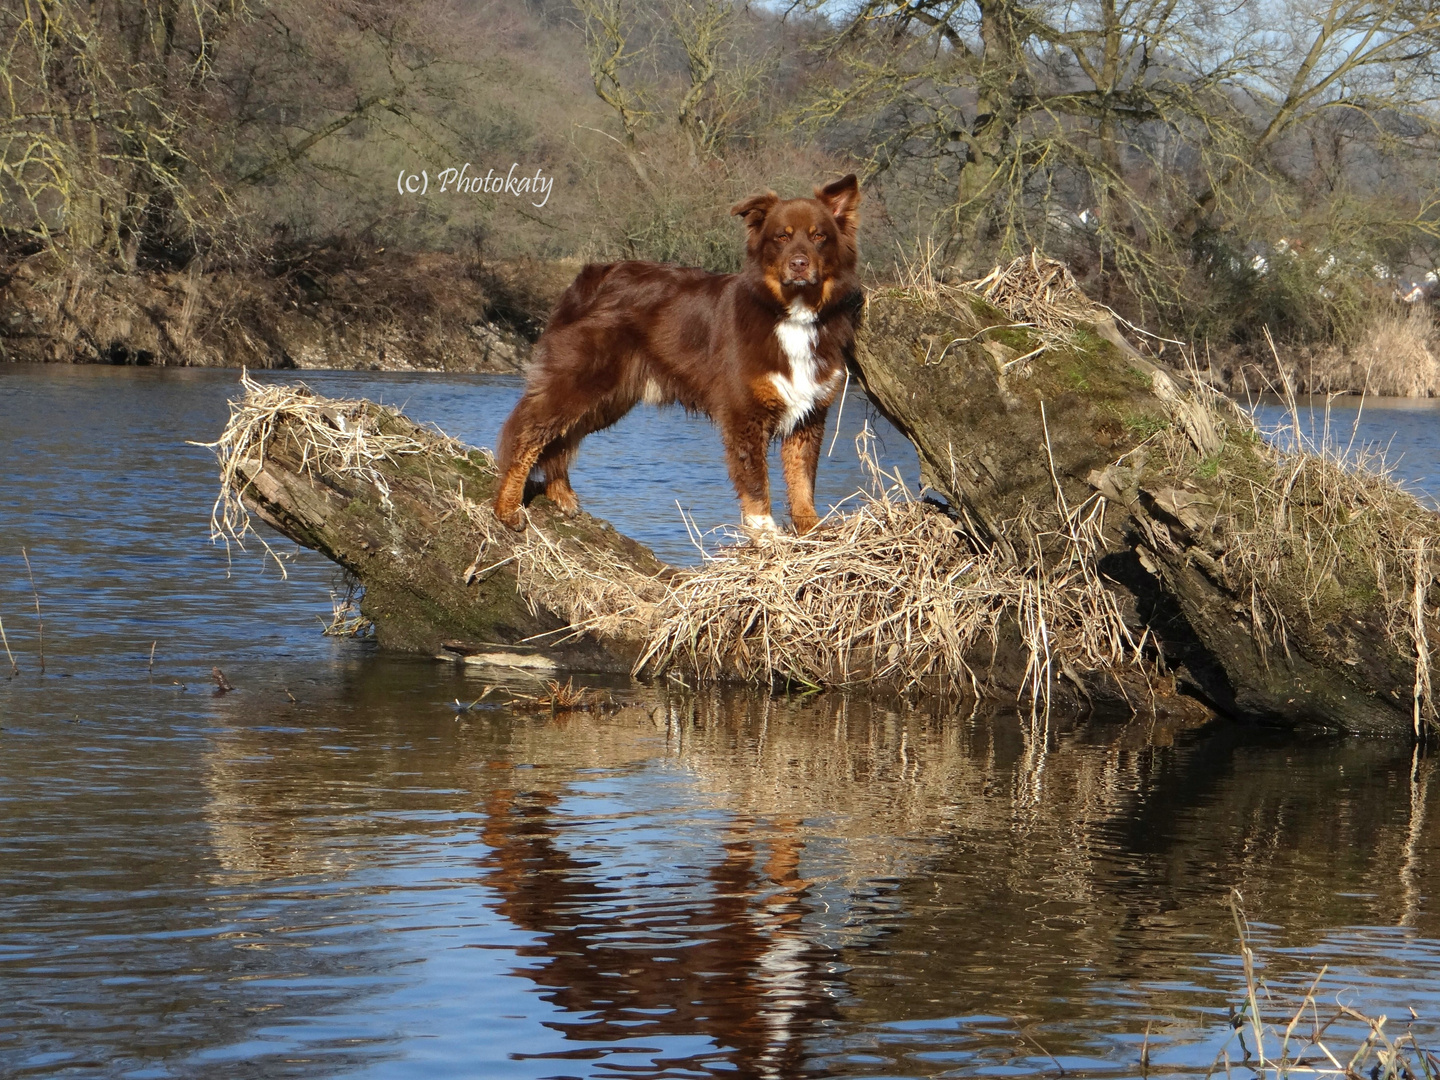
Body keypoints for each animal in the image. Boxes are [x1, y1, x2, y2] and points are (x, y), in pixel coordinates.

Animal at [495, 175, 858, 538]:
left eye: (819, 236)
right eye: (782, 236)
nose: (799, 264)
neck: (789, 312)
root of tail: (589, 276)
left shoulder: (809, 414)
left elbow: (802, 481)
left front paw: (811, 531)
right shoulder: (745, 414)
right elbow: (756, 485)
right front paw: (767, 537)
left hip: (607, 399)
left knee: (561, 439)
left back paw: (561, 493)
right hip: (577, 381)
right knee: (526, 435)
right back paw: (507, 507)